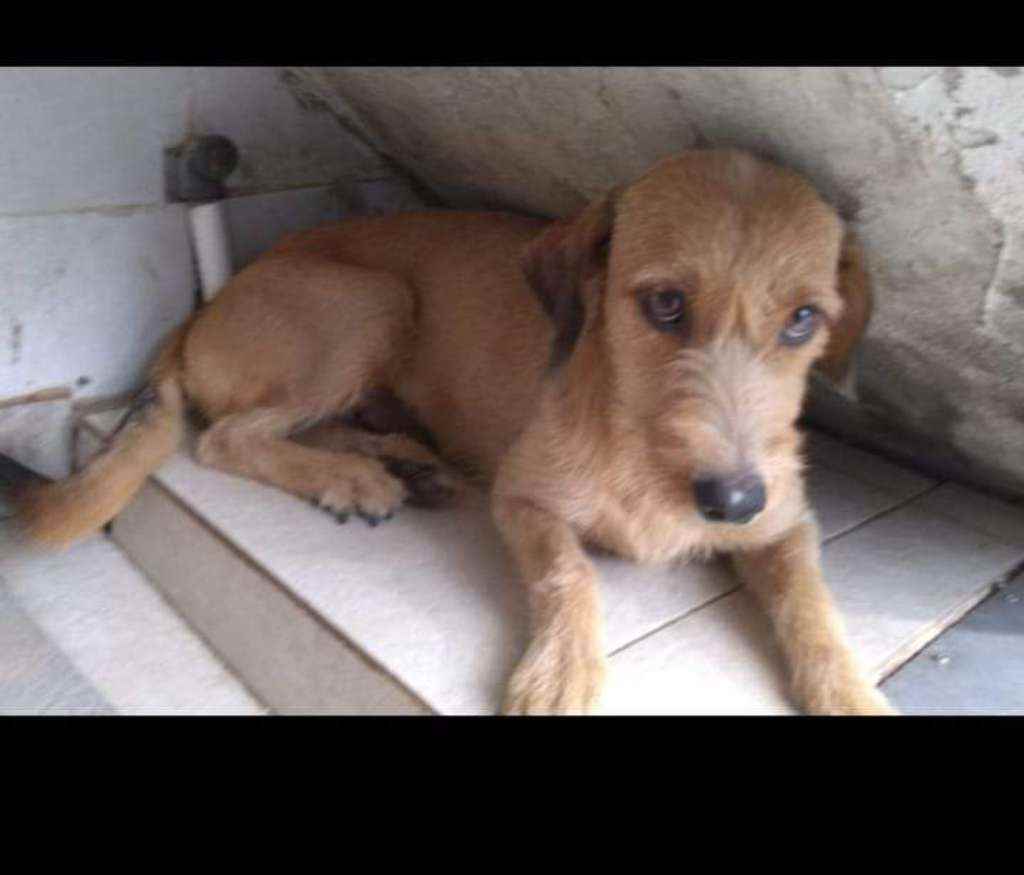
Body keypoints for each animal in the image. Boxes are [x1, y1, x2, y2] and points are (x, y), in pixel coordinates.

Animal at [15, 148, 894, 715]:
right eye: (666, 304)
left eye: (804, 319)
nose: (732, 499)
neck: (633, 434)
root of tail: (203, 310)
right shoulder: (525, 499)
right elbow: (569, 575)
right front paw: (562, 671)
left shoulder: (786, 523)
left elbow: (814, 605)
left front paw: (850, 689)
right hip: (370, 299)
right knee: (225, 436)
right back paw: (354, 477)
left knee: (309, 425)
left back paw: (399, 462)